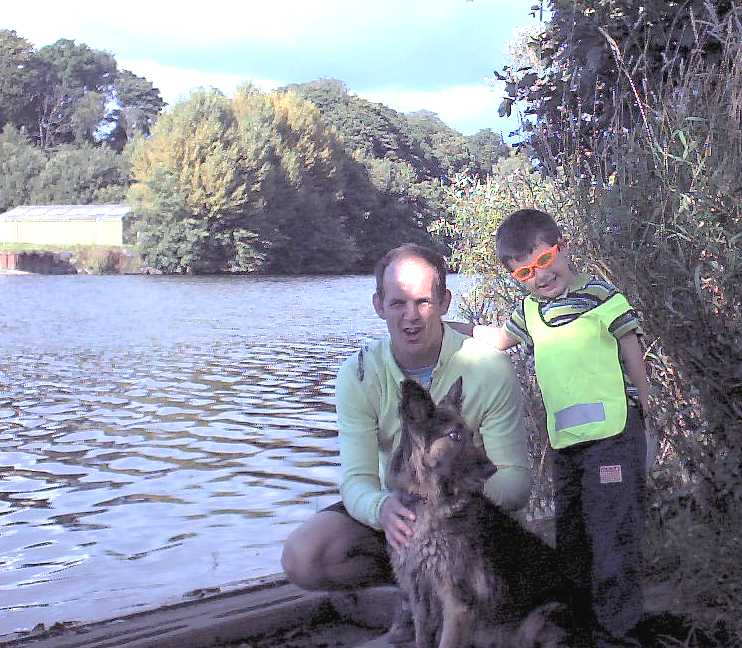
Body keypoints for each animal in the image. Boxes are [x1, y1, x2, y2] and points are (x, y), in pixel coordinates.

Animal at [390, 380, 580, 648]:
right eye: (454, 436)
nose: (492, 469)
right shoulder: (420, 601)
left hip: (539, 619)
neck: (430, 502)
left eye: (471, 435)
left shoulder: (456, 606)